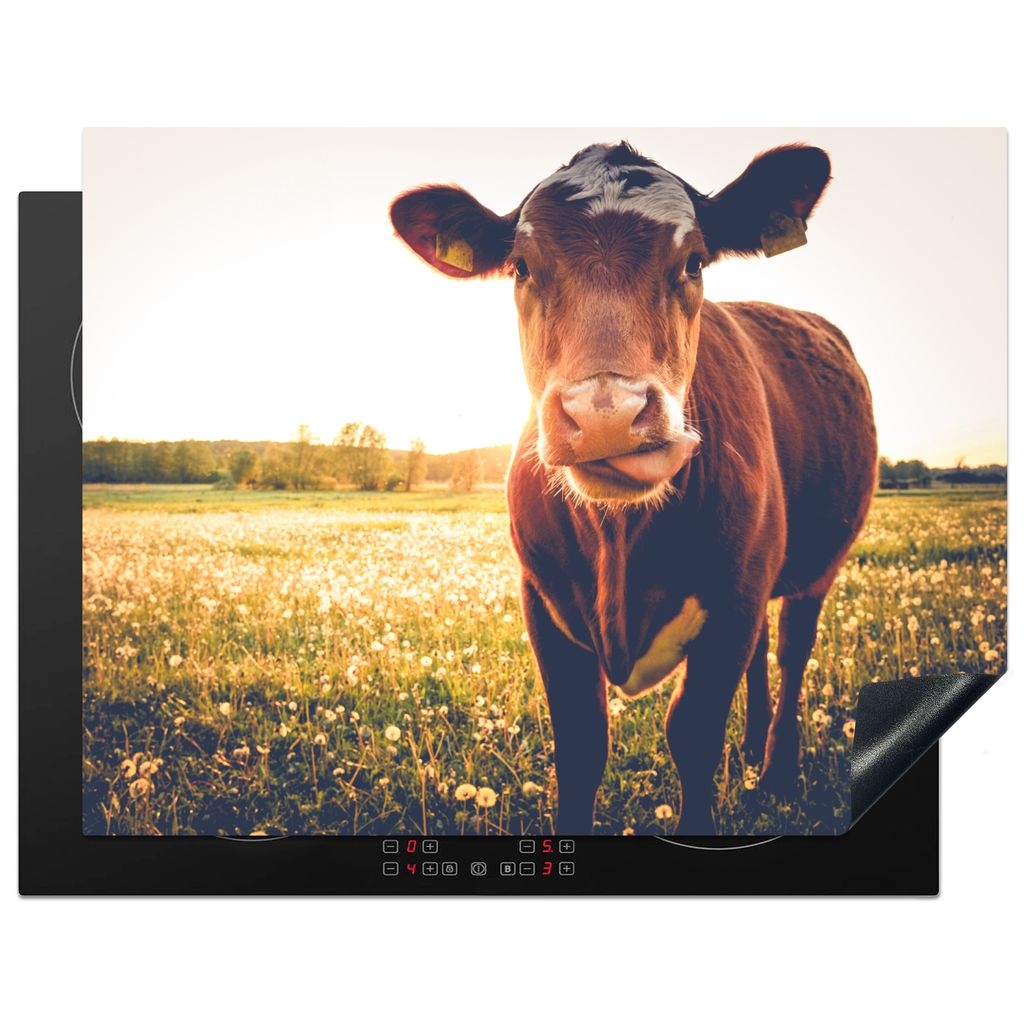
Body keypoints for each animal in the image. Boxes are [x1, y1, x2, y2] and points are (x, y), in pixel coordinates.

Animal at [390, 141, 877, 835]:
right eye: (521, 267)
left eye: (694, 261)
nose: (606, 414)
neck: (619, 539)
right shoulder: (542, 602)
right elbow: (581, 744)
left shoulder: (733, 602)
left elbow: (693, 734)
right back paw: (751, 748)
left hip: (816, 566)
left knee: (790, 650)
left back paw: (777, 770)